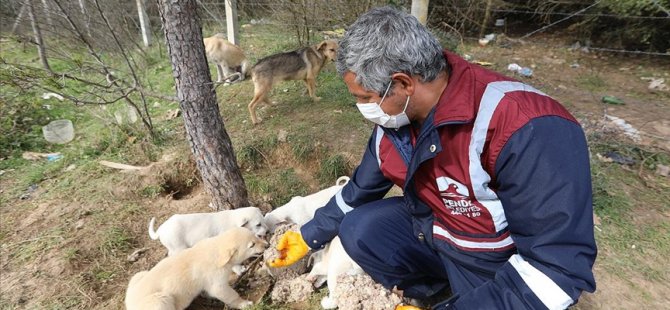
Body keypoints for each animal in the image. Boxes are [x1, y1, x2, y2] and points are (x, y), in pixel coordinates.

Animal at [126, 225, 268, 310]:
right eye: (251, 245)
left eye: (255, 235)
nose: (267, 245)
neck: (216, 250)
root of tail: (129, 304)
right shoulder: (215, 277)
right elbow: (224, 292)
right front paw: (245, 303)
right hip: (158, 300)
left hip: (138, 276)